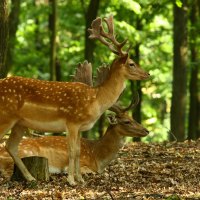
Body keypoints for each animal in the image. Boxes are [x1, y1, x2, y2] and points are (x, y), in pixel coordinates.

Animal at [0, 14, 150, 185]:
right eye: (131, 63)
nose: (147, 74)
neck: (96, 100)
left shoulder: (80, 127)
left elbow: (78, 151)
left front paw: (80, 180)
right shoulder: (72, 121)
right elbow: (71, 151)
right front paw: (71, 180)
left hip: (20, 123)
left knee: (10, 146)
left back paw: (31, 178)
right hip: (6, 116)